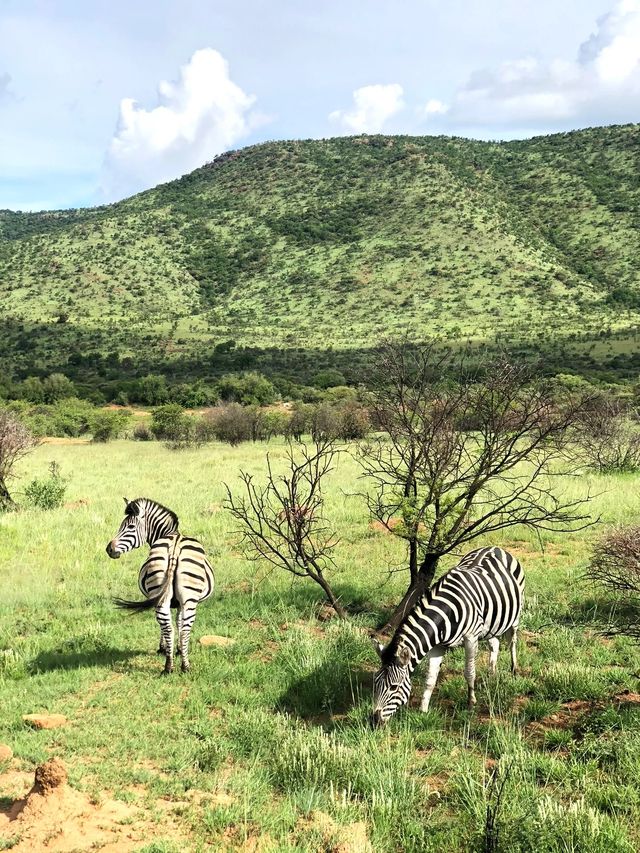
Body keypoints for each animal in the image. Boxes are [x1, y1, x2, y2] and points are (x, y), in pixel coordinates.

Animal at [105, 500, 215, 672]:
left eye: (130, 527)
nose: (109, 549)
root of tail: (174, 550)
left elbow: (176, 622)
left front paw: (171, 649)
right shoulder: (176, 602)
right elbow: (178, 622)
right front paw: (174, 649)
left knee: (169, 627)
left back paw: (171, 666)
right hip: (187, 599)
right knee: (182, 629)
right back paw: (180, 666)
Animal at [370, 544, 524, 724]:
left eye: (394, 687)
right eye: (375, 682)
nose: (374, 720)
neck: (447, 612)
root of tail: (495, 547)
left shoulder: (471, 638)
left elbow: (469, 672)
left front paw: (471, 704)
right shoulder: (437, 645)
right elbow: (430, 679)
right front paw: (423, 711)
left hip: (515, 615)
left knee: (512, 641)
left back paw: (514, 670)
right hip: (491, 625)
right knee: (495, 644)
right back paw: (491, 675)